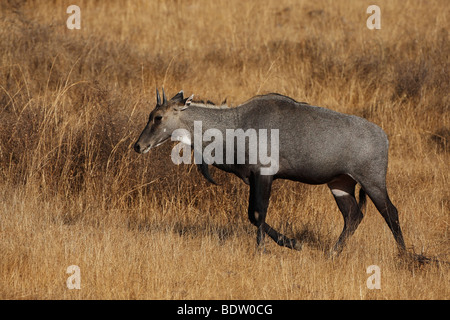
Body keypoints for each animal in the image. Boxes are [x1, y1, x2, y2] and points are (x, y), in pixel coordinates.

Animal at [132, 89, 406, 256]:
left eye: (158, 117)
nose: (138, 146)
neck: (235, 124)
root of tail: (383, 137)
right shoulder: (254, 177)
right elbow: (254, 214)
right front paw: (287, 243)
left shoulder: (264, 174)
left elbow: (257, 213)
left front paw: (273, 247)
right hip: (340, 184)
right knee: (353, 216)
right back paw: (332, 253)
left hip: (372, 181)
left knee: (390, 212)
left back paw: (405, 256)